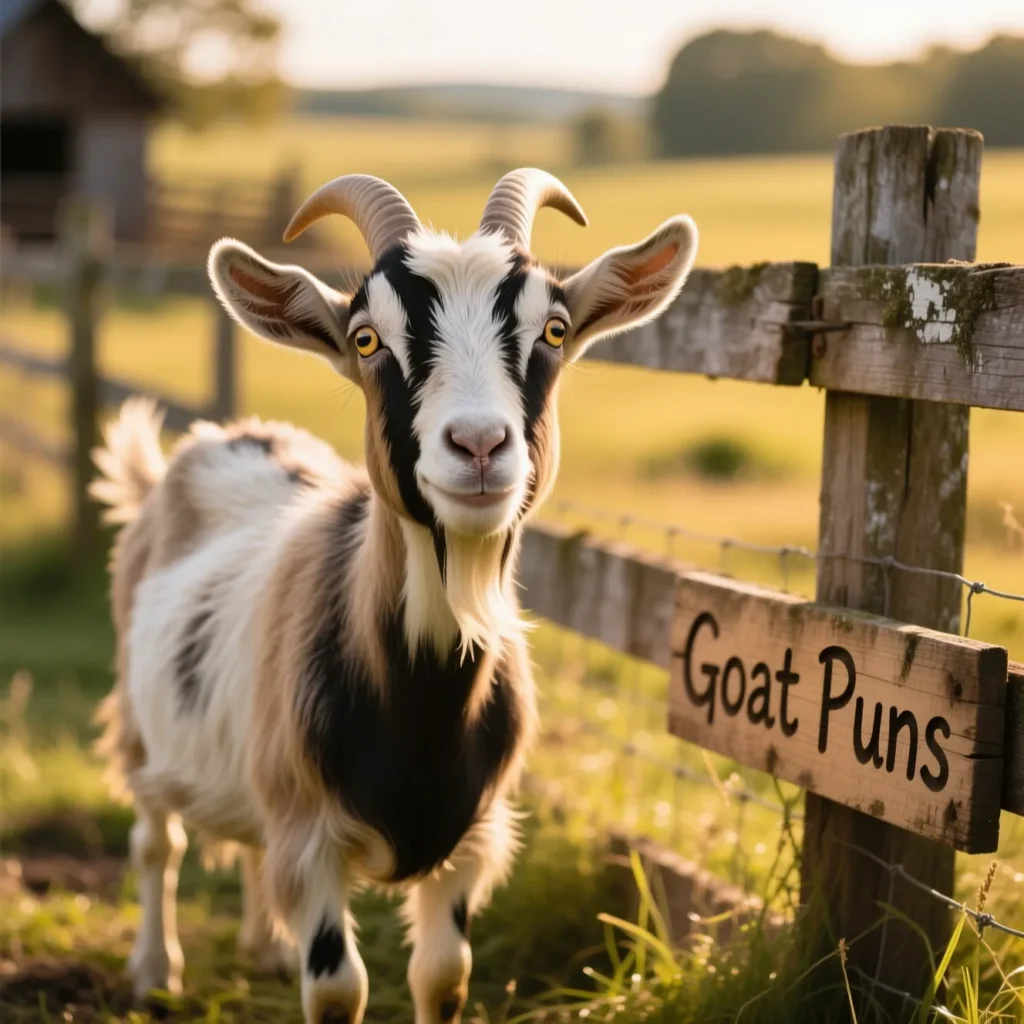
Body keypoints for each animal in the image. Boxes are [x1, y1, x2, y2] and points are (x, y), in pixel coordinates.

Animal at [91, 170, 697, 1024]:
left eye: (552, 331)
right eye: (367, 341)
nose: (478, 445)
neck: (423, 709)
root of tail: (219, 440)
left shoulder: (471, 841)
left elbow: (444, 977)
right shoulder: (311, 838)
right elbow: (338, 986)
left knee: (247, 845)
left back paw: (262, 947)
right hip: (142, 723)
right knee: (156, 840)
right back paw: (154, 971)